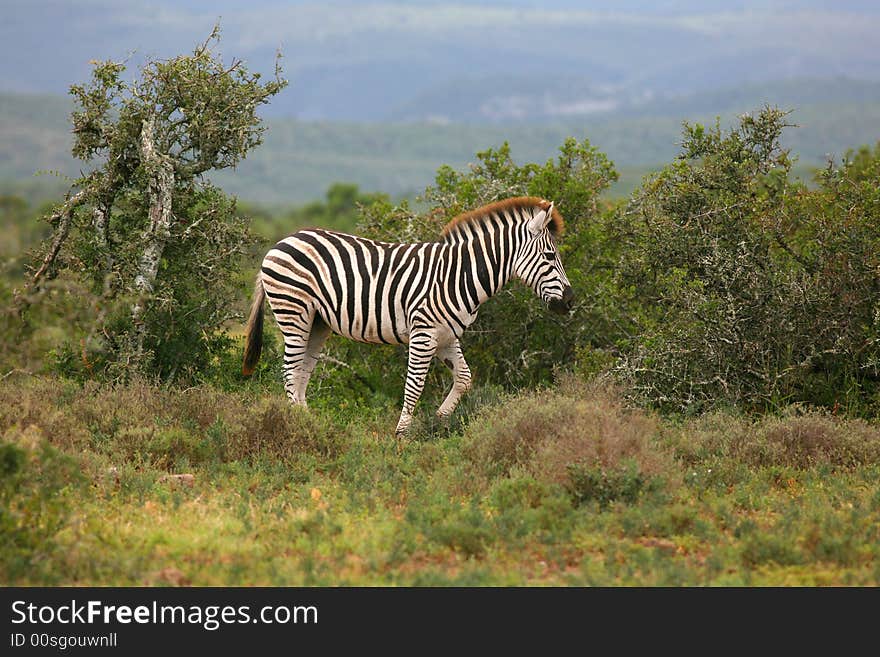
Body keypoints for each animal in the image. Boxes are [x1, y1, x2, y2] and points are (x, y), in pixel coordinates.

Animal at [241, 196, 576, 436]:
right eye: (550, 256)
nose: (570, 301)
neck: (459, 275)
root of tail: (281, 242)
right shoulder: (424, 333)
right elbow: (414, 384)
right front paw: (402, 433)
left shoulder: (446, 336)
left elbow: (464, 378)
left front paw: (439, 420)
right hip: (293, 310)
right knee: (289, 370)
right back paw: (295, 427)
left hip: (317, 323)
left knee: (301, 373)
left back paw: (308, 424)